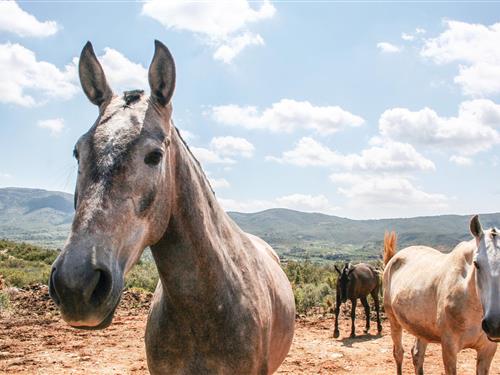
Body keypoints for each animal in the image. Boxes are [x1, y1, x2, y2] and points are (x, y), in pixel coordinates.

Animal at [384, 216, 498, 374]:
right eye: (476, 264)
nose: (495, 325)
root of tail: (394, 258)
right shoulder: (449, 348)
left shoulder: (488, 350)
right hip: (393, 320)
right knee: (398, 353)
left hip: (421, 328)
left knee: (417, 355)